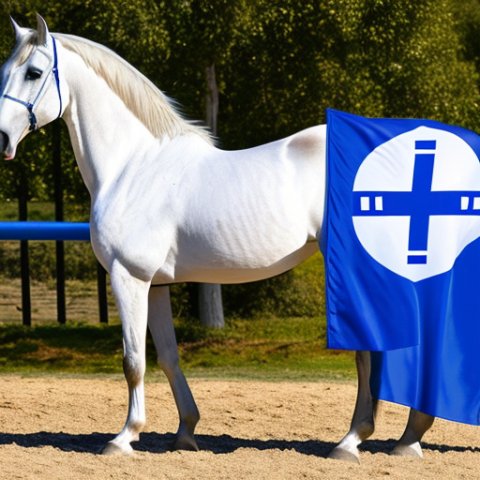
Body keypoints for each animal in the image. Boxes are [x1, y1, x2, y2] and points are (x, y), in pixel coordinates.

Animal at [0, 16, 436, 462]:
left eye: (33, 72)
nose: (1, 139)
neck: (134, 166)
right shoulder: (157, 285)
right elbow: (169, 358)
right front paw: (185, 432)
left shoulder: (129, 277)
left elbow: (133, 360)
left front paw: (123, 437)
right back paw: (401, 438)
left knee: (377, 349)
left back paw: (355, 441)